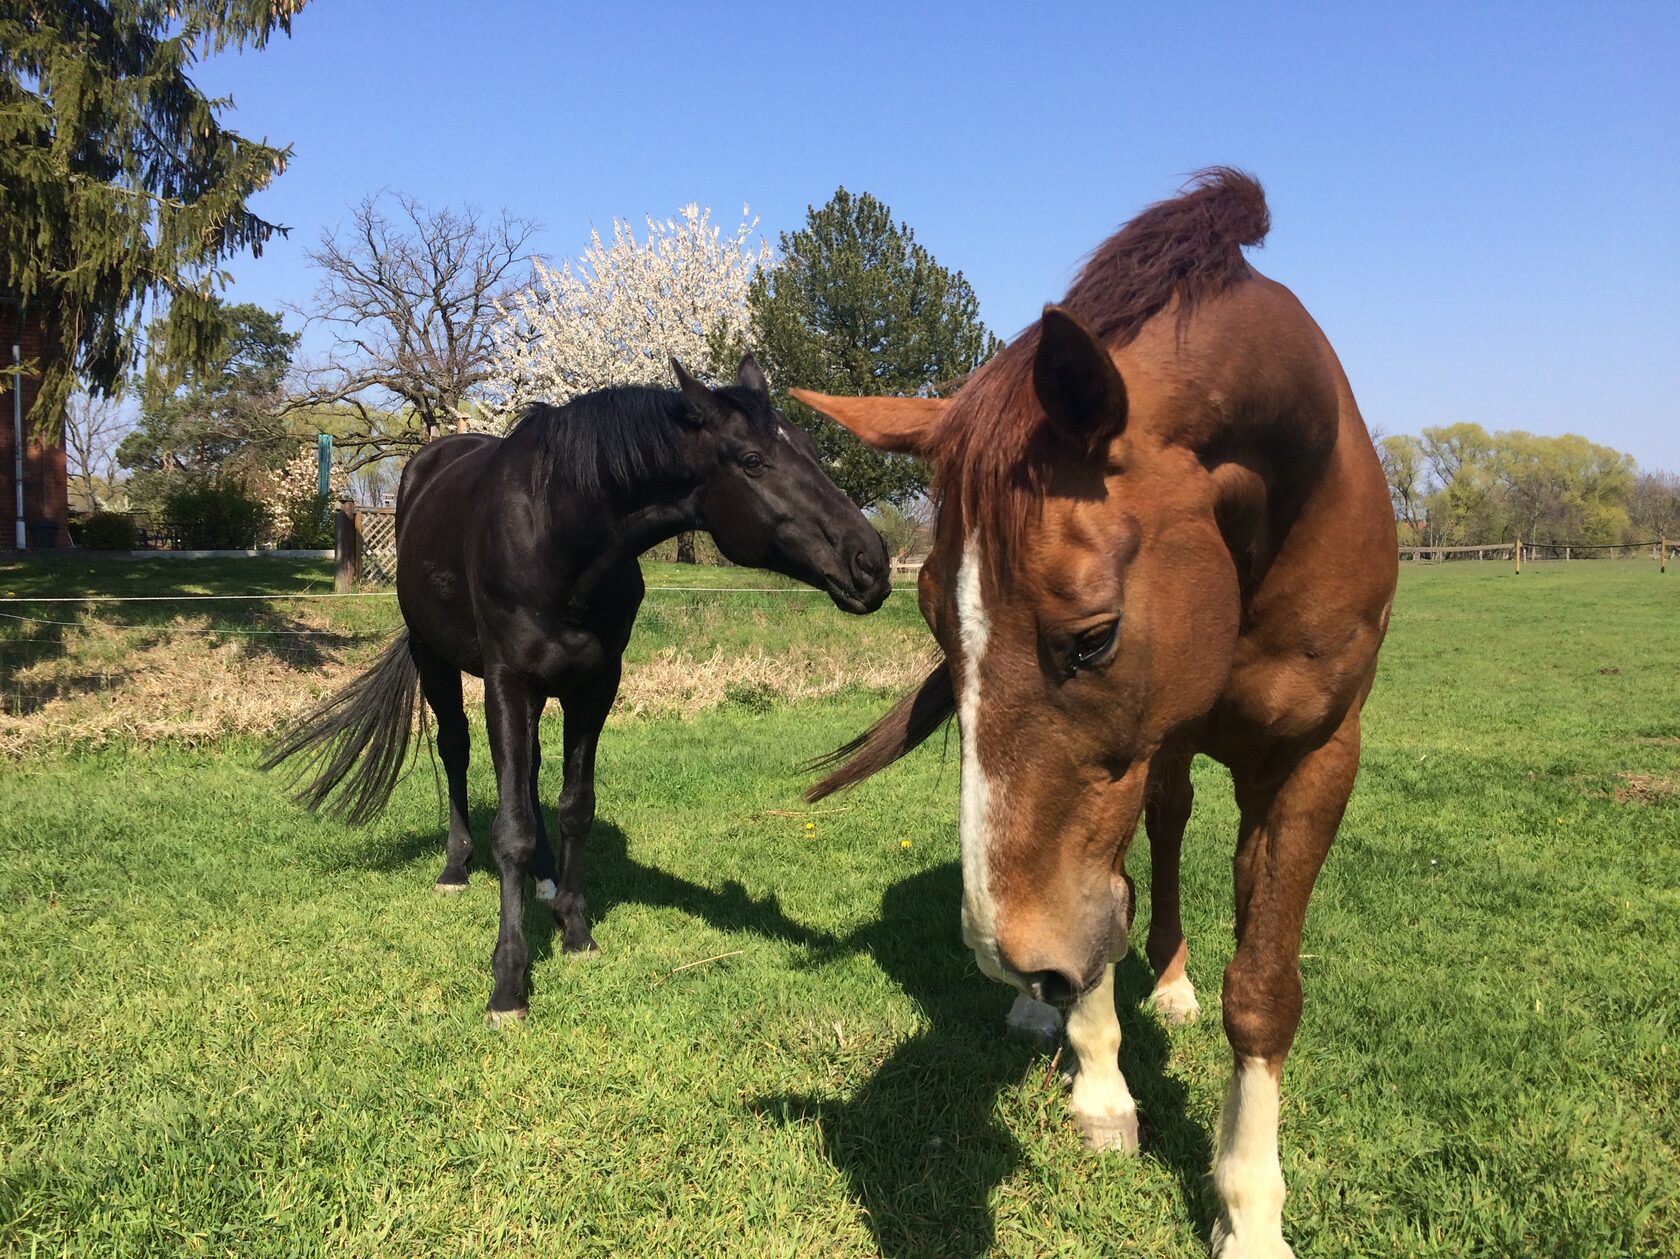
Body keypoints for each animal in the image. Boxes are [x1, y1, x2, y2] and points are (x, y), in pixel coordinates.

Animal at [265, 347, 893, 1015]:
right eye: (752, 460)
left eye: (810, 446)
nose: (871, 563)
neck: (557, 533)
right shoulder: (507, 681)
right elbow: (510, 828)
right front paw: (508, 980)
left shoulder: (595, 685)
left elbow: (574, 806)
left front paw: (574, 928)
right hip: (435, 660)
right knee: (456, 751)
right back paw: (455, 868)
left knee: (530, 771)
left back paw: (541, 877)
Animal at [799, 169, 1391, 1257]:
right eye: (937, 620)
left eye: (1094, 635)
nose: (1010, 953)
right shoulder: (1131, 755)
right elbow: (1103, 912)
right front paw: (1102, 1087)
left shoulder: (1316, 755)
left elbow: (1263, 990)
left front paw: (1250, 1211)